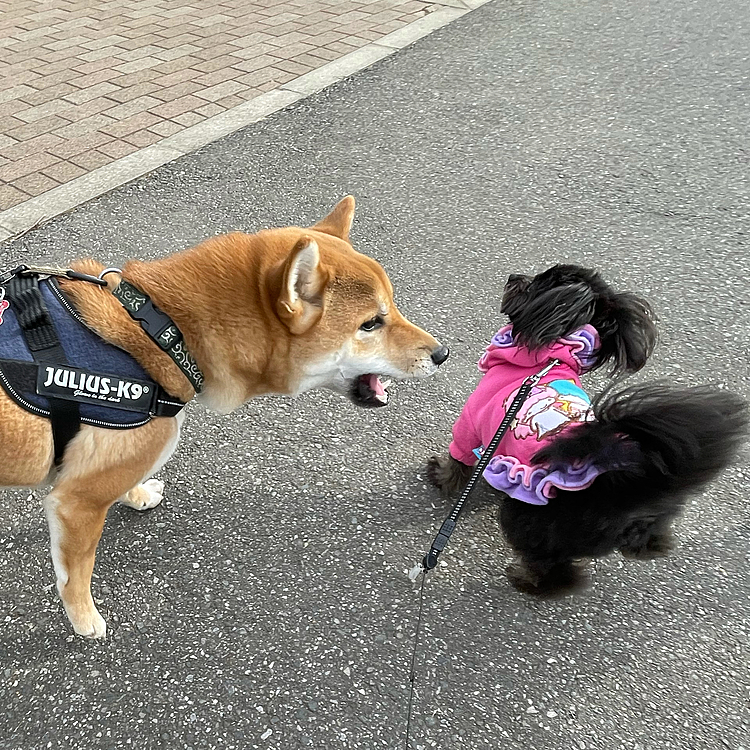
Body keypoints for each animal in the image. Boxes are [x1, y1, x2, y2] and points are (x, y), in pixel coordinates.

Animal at [0, 200, 446, 640]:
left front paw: (137, 495)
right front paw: (83, 618)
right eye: (371, 323)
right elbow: (75, 575)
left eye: (393, 307)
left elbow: (124, 484)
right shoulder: (76, 503)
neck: (160, 333)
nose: (442, 354)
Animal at [432, 268, 748, 596]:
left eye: (533, 285)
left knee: (558, 571)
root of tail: (622, 483)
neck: (553, 356)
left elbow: (460, 457)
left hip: (533, 519)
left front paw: (441, 476)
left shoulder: (472, 420)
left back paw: (528, 581)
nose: (513, 276)